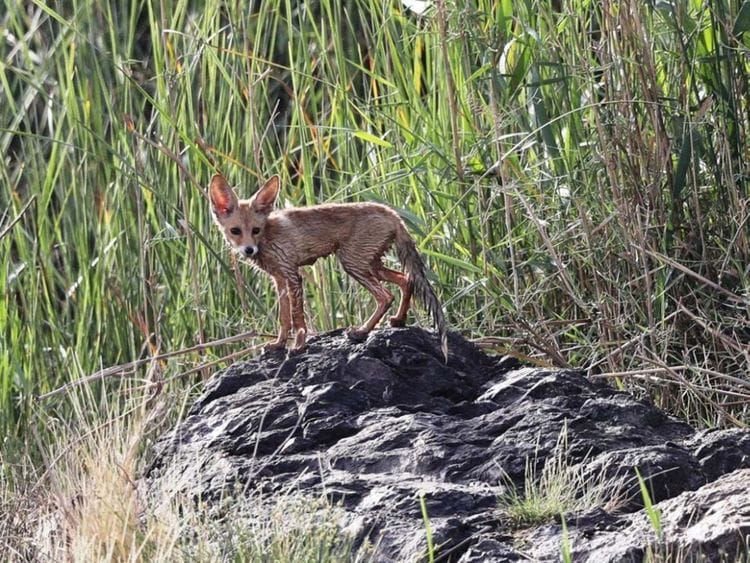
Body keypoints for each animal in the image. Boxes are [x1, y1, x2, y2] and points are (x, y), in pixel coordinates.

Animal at [209, 173, 448, 361]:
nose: (249, 250)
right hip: (370, 264)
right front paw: (278, 344)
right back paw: (398, 321)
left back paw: (361, 332)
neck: (269, 236)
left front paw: (298, 346)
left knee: (386, 296)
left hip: (353, 264)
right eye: (235, 231)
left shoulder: (292, 274)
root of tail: (393, 213)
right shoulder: (279, 279)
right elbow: (284, 319)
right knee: (405, 280)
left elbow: (298, 318)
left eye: (255, 230)